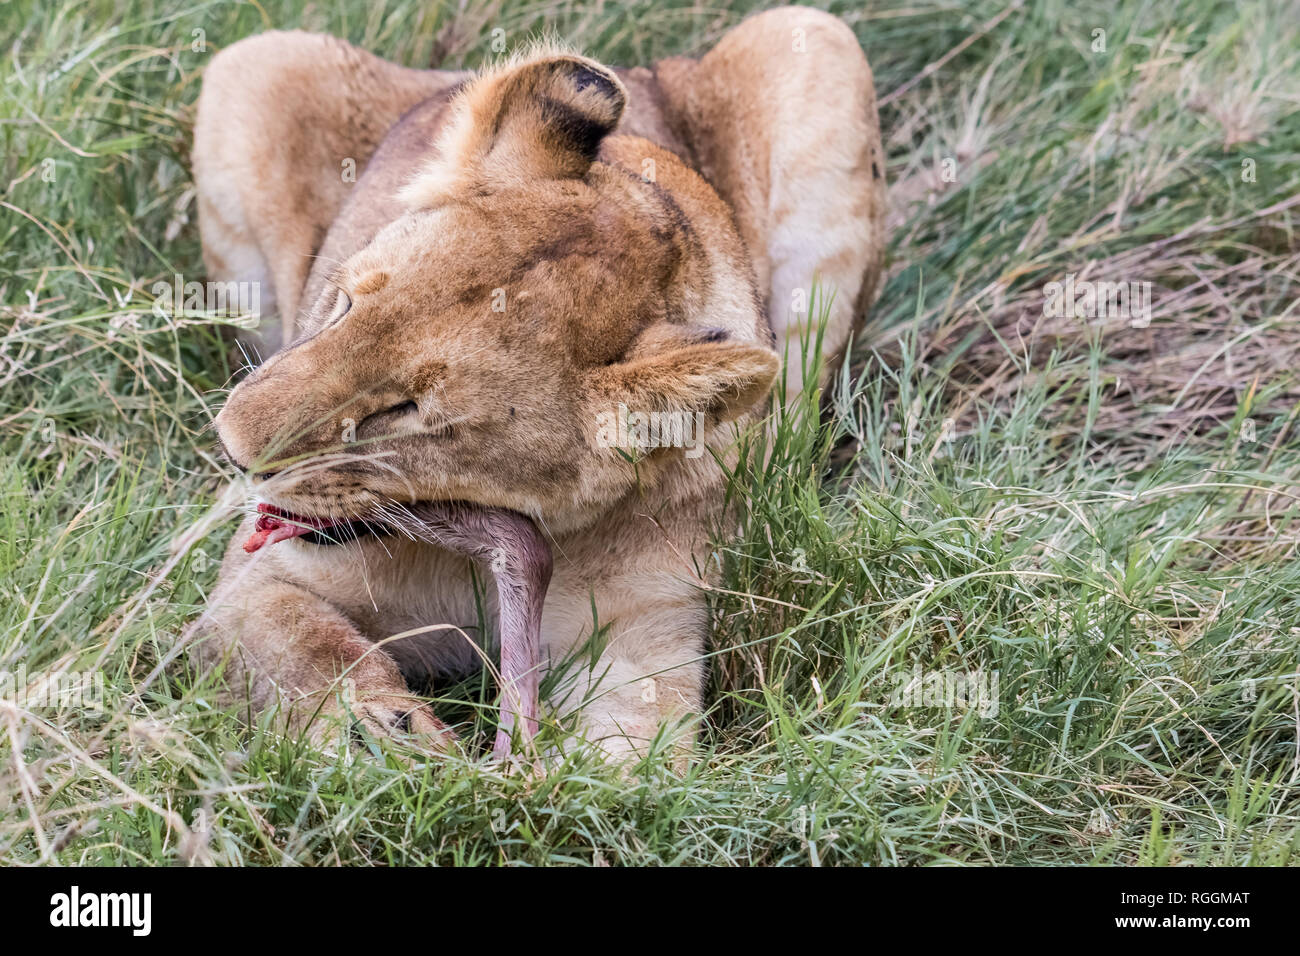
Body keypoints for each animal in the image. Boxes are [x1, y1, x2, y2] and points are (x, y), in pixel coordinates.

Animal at [188, 3, 889, 759]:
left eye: (408, 410)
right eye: (344, 304)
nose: (232, 448)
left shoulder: (645, 640)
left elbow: (630, 765)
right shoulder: (253, 589)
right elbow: (308, 652)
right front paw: (389, 739)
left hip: (815, 45)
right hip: (256, 64)